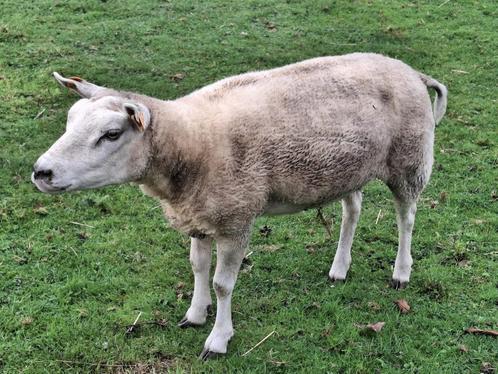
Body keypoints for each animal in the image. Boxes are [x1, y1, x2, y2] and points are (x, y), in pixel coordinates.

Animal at [34, 53, 448, 360]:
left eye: (111, 134)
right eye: (70, 120)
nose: (41, 172)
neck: (191, 143)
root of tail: (413, 72)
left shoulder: (236, 218)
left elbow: (222, 284)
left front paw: (218, 339)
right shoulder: (200, 213)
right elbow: (197, 267)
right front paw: (195, 314)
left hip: (410, 158)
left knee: (406, 217)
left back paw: (401, 271)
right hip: (347, 167)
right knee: (353, 209)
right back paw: (339, 268)